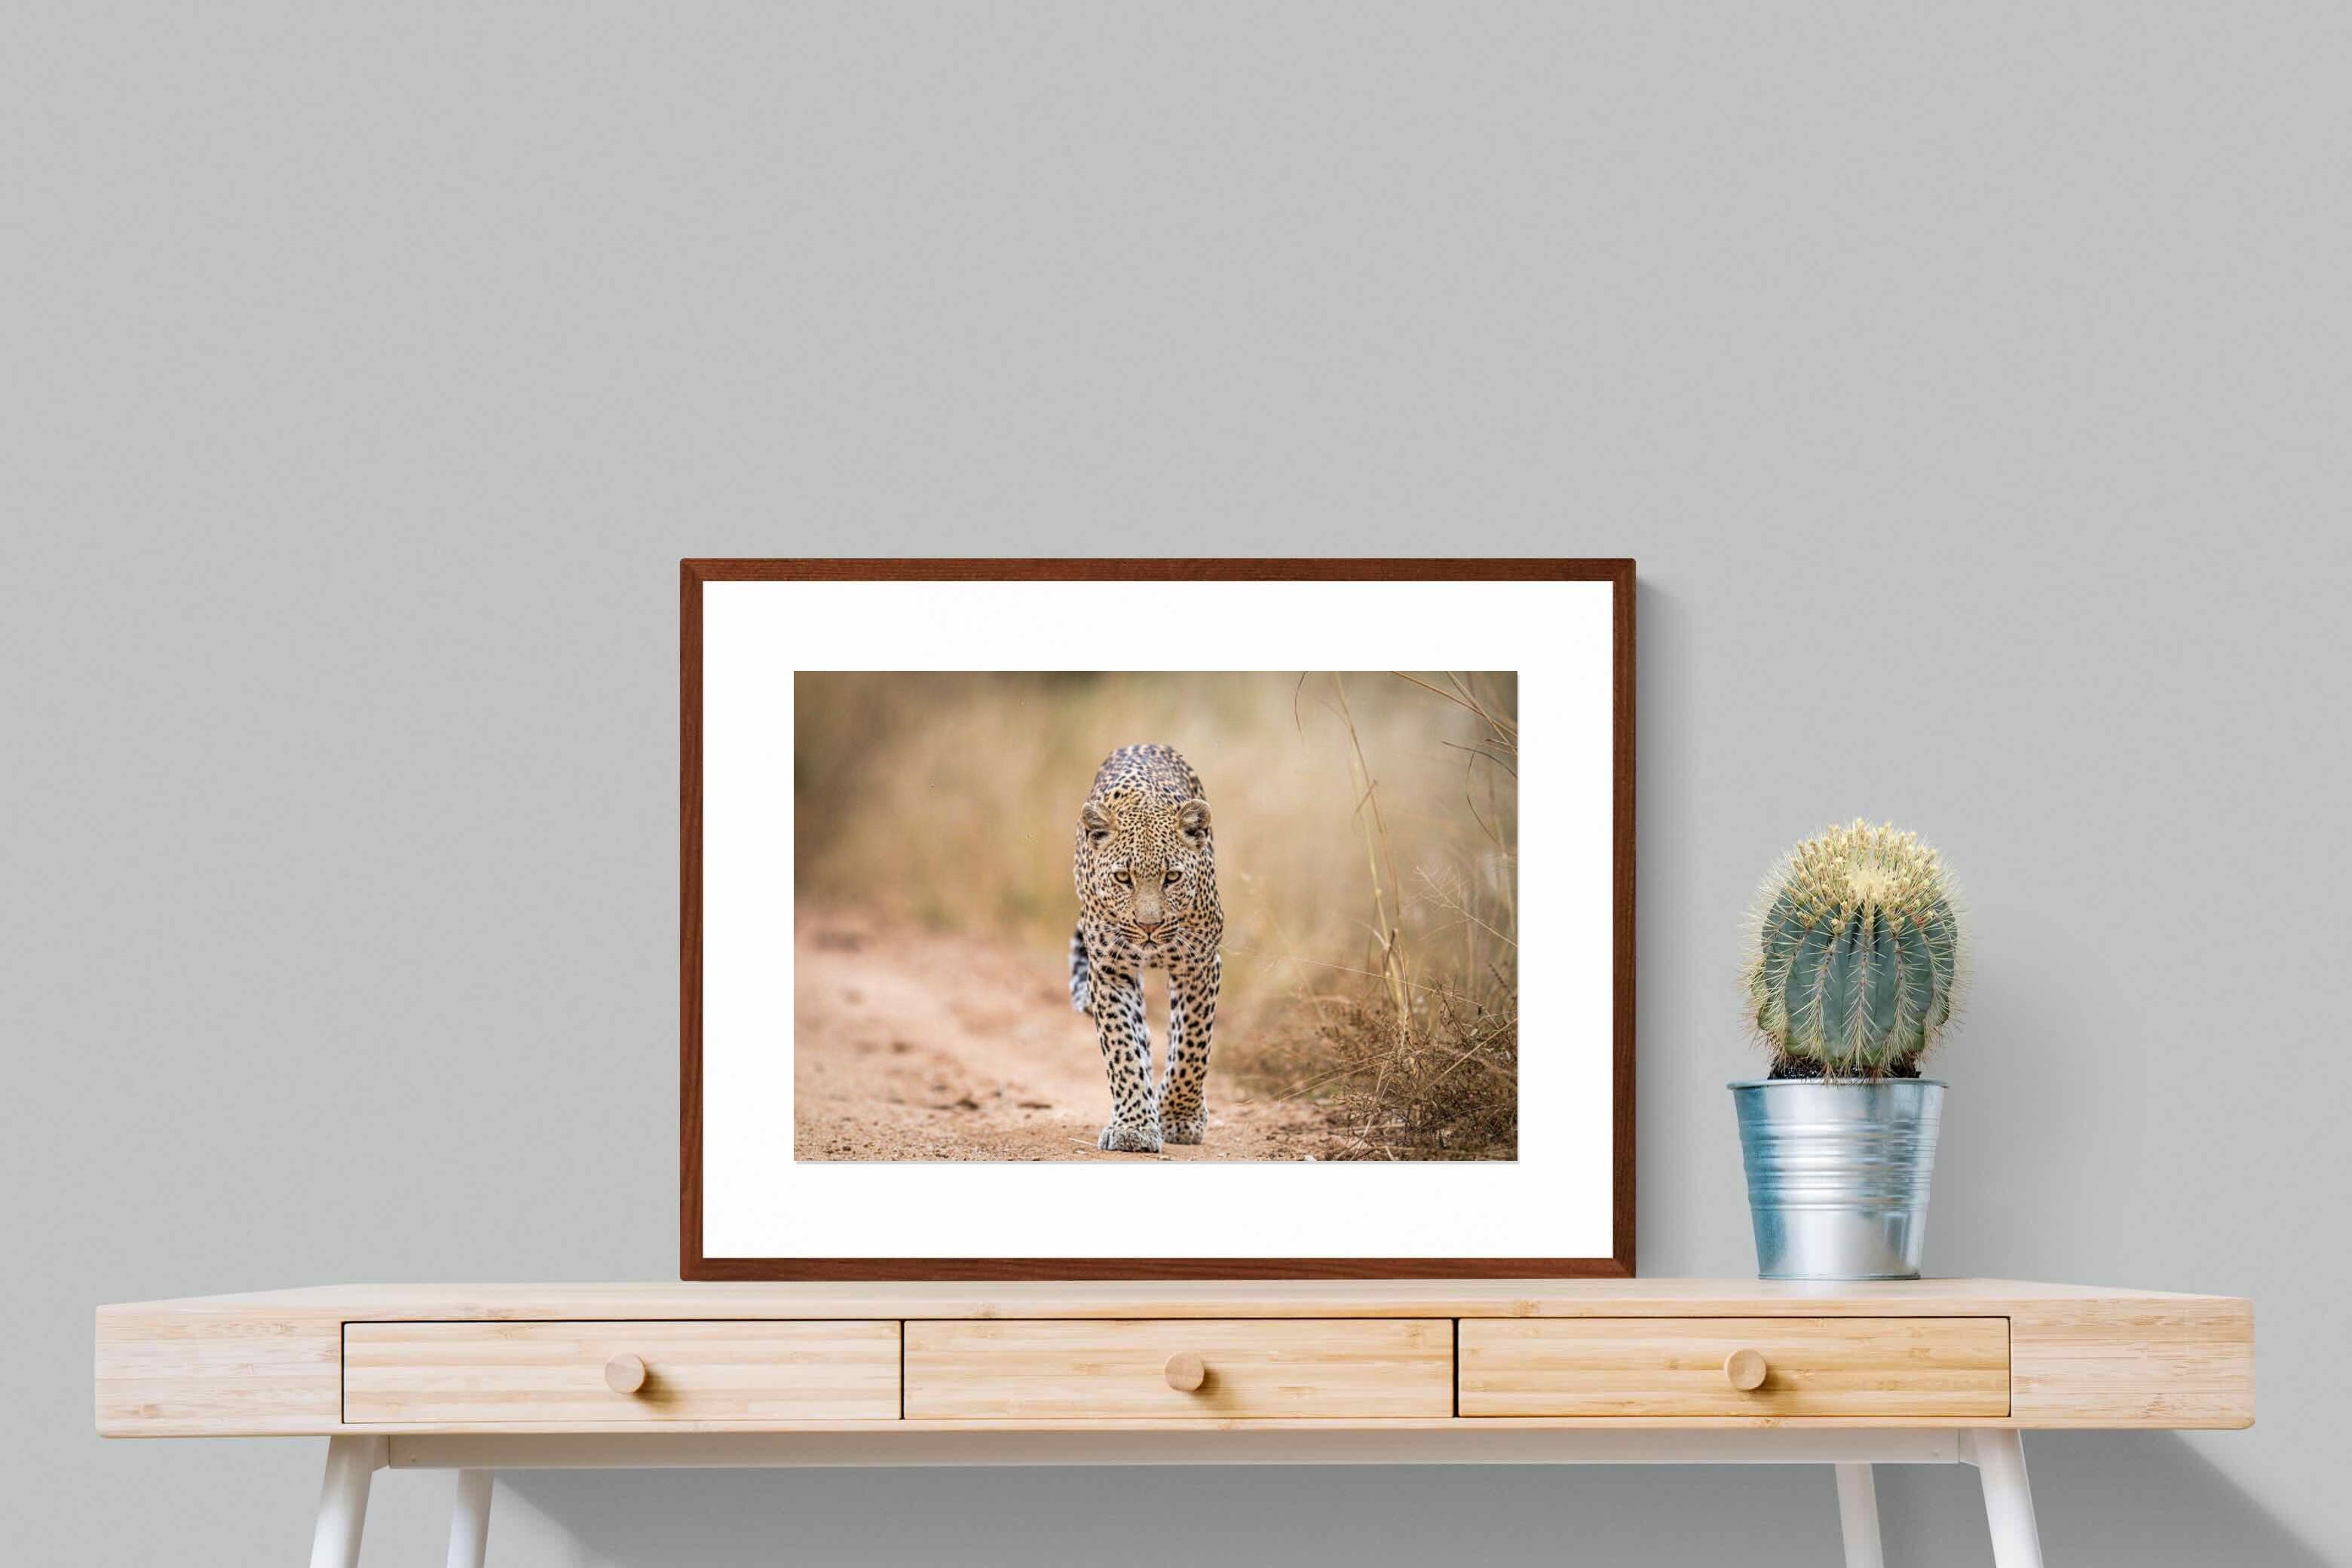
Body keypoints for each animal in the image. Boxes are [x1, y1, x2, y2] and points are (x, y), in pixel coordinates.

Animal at [1067, 743, 1224, 1154]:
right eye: (1124, 877)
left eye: (1173, 877)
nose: (1148, 926)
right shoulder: (1110, 970)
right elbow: (1123, 1048)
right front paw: (1134, 1127)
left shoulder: (1200, 964)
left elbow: (1191, 1046)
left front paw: (1179, 1118)